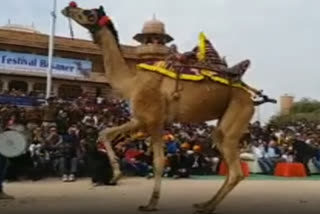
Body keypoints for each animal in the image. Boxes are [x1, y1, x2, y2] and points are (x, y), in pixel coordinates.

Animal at [62, 2, 264, 213]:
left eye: (89, 13)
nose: (68, 8)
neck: (131, 83)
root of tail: (252, 98)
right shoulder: (140, 119)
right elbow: (105, 133)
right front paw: (116, 174)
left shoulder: (154, 120)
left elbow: (158, 161)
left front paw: (150, 203)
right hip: (226, 123)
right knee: (226, 156)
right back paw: (204, 203)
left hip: (239, 111)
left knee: (236, 171)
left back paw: (207, 207)